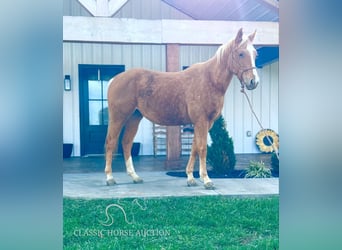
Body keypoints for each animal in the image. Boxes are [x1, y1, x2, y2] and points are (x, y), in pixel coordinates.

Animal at [104, 28, 260, 188]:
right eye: (241, 53)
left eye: (255, 54)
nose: (253, 81)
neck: (209, 80)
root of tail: (115, 80)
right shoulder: (201, 121)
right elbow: (202, 148)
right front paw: (206, 179)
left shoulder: (203, 123)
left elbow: (194, 148)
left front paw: (191, 178)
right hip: (118, 117)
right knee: (110, 142)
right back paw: (110, 178)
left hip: (134, 117)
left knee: (126, 142)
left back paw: (135, 176)